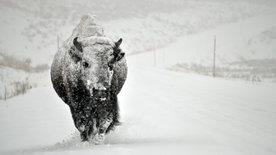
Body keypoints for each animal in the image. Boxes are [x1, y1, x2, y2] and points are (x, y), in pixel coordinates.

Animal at [50, 15, 127, 143]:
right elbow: (82, 125)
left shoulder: (109, 101)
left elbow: (105, 122)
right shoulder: (76, 104)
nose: (100, 91)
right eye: (85, 63)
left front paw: (98, 141)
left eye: (111, 64)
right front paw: (86, 142)